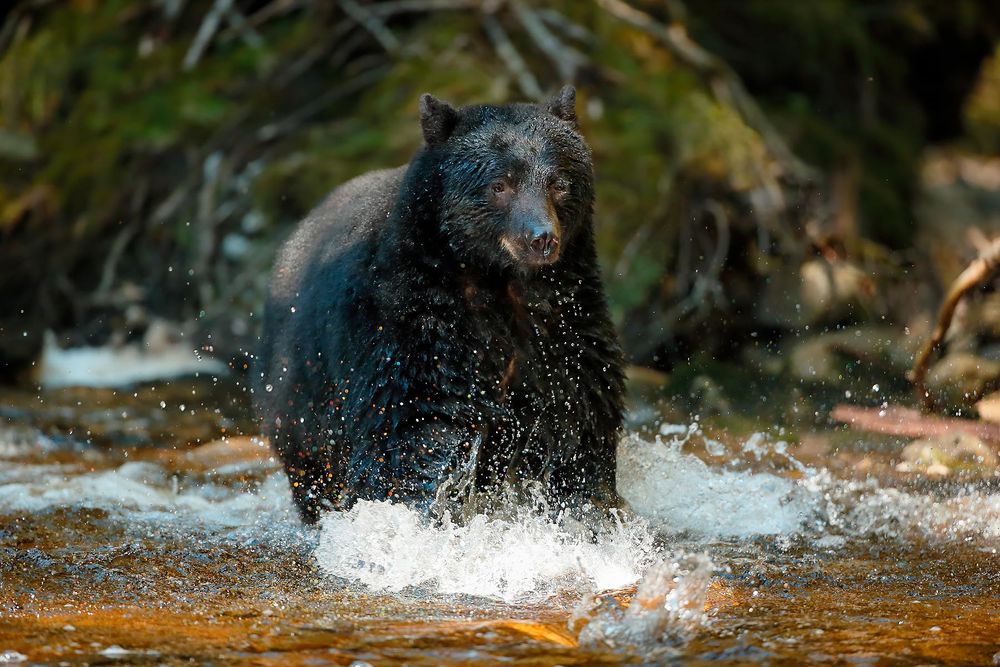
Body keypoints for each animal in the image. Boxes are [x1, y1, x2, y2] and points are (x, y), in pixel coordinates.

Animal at [255, 86, 625, 523]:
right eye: (500, 185)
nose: (541, 238)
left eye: (559, 183)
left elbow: (580, 412)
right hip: (299, 387)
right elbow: (417, 418)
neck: (497, 280)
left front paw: (589, 505)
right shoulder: (411, 315)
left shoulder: (565, 318)